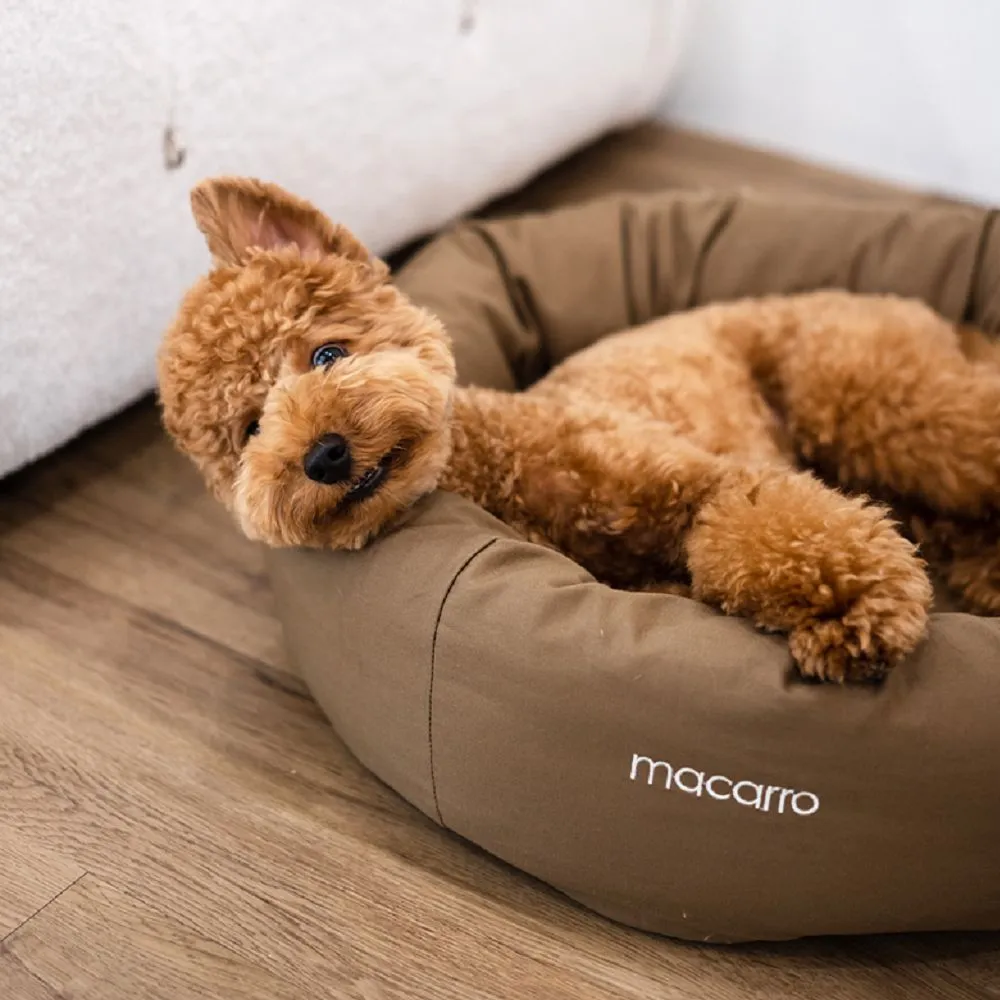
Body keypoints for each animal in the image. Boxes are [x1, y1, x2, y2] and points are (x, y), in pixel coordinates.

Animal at [158, 178, 1000, 680]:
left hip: (864, 397)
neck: (496, 460)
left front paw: (845, 609)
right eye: (250, 430)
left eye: (328, 354)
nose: (325, 454)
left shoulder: (702, 479)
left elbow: (761, 525)